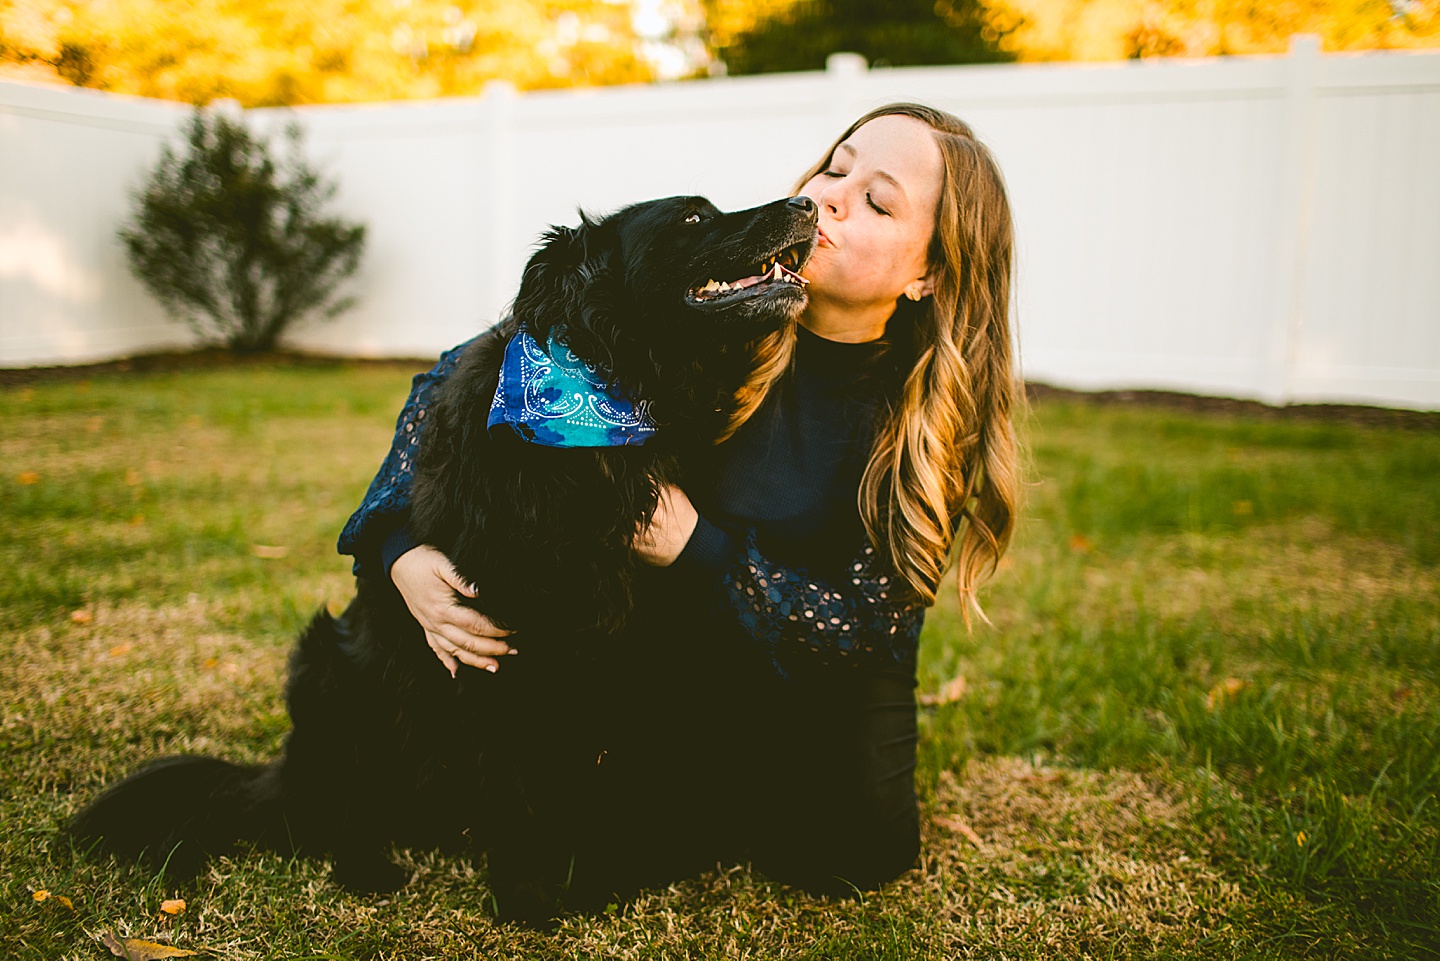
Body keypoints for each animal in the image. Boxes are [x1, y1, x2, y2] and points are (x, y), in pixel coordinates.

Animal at [67, 193, 817, 922]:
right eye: (693, 216)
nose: (807, 205)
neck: (603, 408)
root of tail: (283, 776)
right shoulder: (492, 646)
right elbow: (513, 785)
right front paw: (528, 894)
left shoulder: (634, 642)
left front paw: (605, 872)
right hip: (329, 672)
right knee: (338, 817)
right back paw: (368, 868)